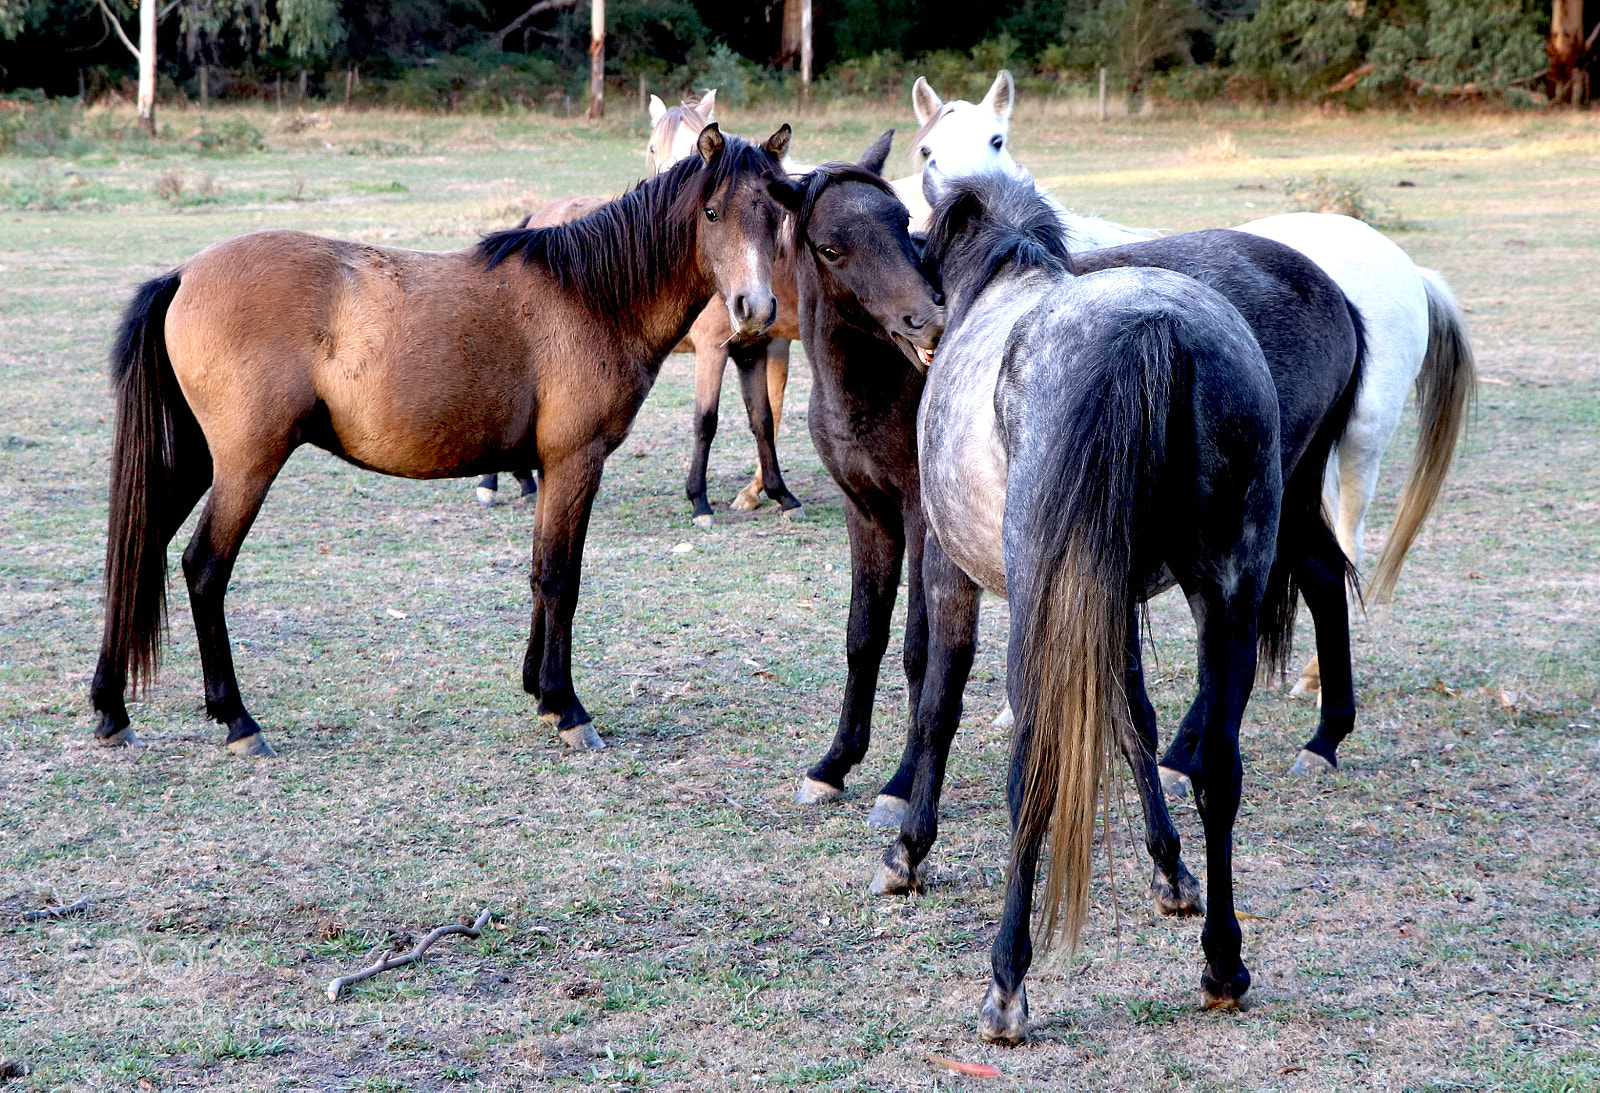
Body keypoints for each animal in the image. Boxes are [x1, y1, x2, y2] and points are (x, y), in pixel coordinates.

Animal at [90, 125, 793, 757]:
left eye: (774, 211)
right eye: (711, 211)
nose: (754, 310)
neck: (591, 296)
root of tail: (184, 274)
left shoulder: (550, 470)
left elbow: (538, 574)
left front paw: (539, 692)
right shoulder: (576, 463)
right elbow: (562, 579)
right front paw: (568, 707)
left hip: (197, 462)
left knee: (140, 550)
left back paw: (111, 709)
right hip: (246, 466)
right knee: (203, 568)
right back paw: (237, 720)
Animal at [914, 172, 1289, 1042]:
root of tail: (1157, 329)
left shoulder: (950, 568)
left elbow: (937, 701)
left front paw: (906, 846)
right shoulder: (1109, 601)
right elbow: (1136, 719)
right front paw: (1170, 868)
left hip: (1045, 605)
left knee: (1036, 765)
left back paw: (1007, 981)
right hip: (1227, 593)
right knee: (1218, 765)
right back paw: (1223, 962)